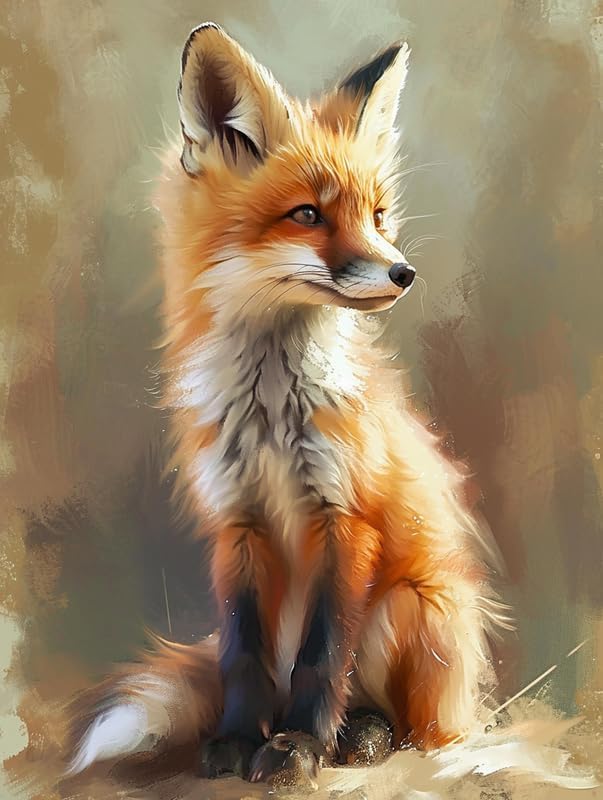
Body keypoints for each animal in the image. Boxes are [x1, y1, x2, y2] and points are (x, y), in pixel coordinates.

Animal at [66, 22, 508, 788]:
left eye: (377, 215)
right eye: (307, 215)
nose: (403, 272)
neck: (272, 418)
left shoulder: (346, 518)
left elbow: (322, 657)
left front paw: (299, 746)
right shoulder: (237, 526)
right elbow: (242, 658)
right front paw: (239, 741)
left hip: (407, 606)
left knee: (411, 726)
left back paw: (360, 736)